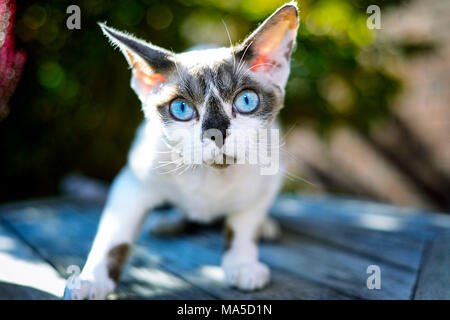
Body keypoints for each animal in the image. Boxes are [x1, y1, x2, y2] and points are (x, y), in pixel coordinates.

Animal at [65, 2, 298, 298]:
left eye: (246, 101)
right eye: (182, 108)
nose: (215, 132)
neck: (210, 178)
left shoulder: (267, 181)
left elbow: (242, 226)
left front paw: (243, 263)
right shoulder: (131, 183)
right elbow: (113, 236)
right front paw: (91, 279)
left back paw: (265, 227)